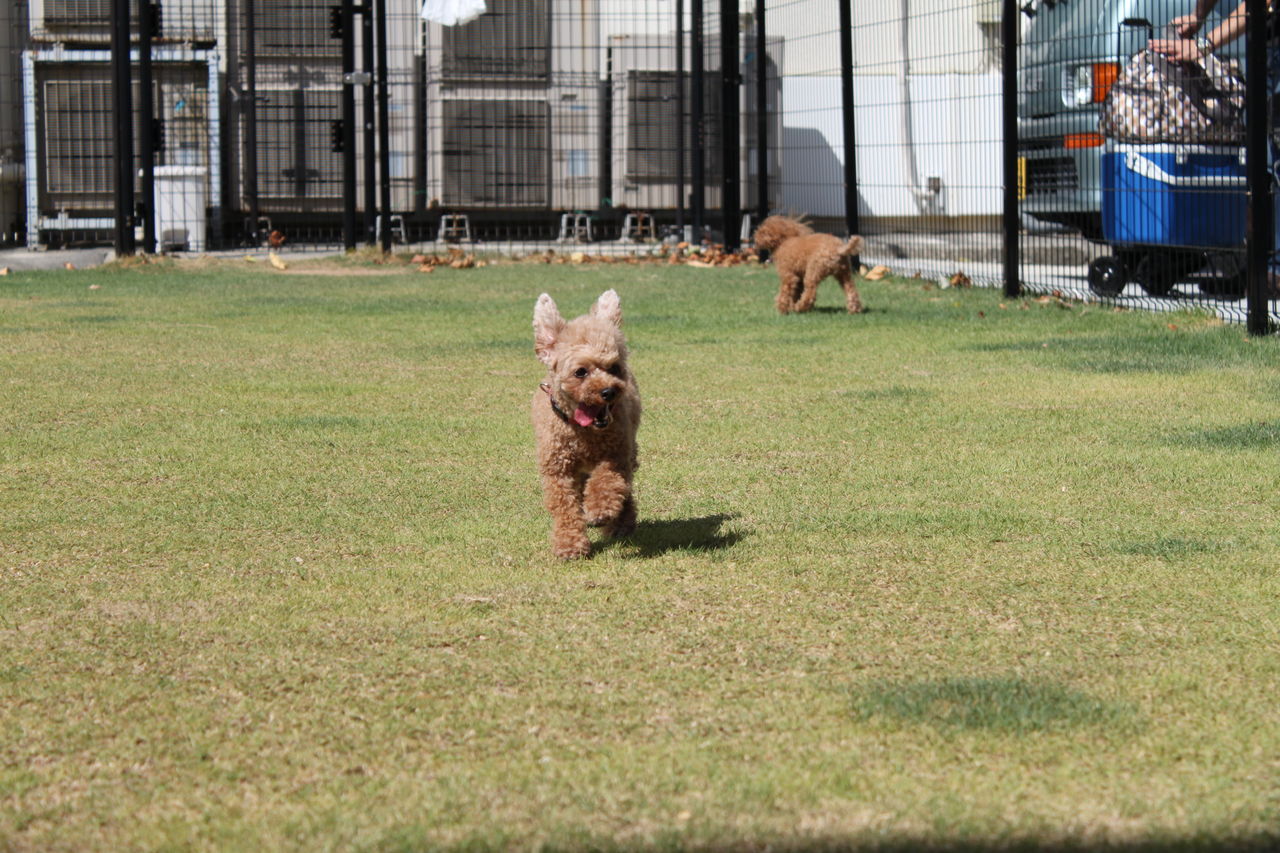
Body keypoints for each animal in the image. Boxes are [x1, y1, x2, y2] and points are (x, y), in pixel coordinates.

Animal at [529, 289, 640, 560]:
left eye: (614, 368)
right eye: (580, 372)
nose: (609, 391)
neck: (583, 432)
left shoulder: (616, 454)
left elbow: (607, 481)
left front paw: (600, 510)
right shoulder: (557, 470)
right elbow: (565, 508)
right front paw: (569, 545)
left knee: (624, 486)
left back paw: (621, 522)